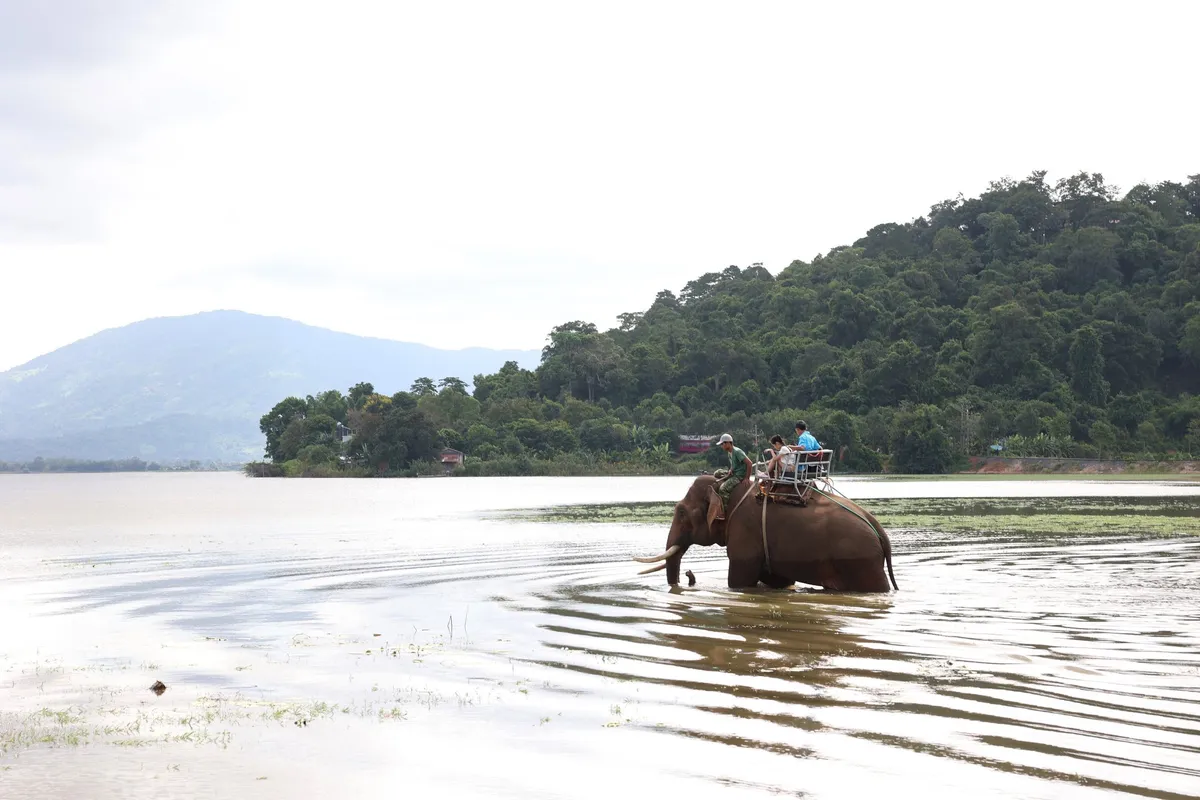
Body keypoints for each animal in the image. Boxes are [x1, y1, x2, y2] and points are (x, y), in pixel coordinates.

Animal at [633, 474, 897, 594]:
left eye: (680, 512)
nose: (689, 574)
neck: (729, 488)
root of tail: (880, 531)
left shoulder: (745, 533)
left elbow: (739, 581)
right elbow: (777, 579)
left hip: (861, 562)